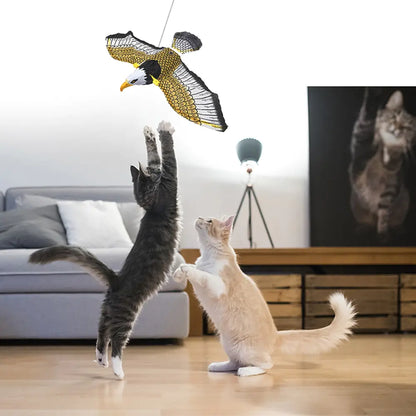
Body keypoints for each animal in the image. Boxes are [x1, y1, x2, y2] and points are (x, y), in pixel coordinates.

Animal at [29, 118, 179, 378]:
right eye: (152, 176)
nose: (154, 175)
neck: (149, 205)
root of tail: (115, 279)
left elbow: (154, 154)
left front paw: (148, 131)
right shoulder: (169, 184)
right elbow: (167, 155)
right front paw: (163, 128)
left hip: (106, 311)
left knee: (100, 333)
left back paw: (101, 360)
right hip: (126, 315)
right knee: (117, 341)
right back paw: (118, 371)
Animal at [174, 218, 356, 376]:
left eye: (209, 220)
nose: (199, 217)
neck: (208, 255)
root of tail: (276, 336)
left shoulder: (218, 285)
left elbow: (201, 274)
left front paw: (185, 269)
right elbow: (192, 266)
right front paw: (178, 272)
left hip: (246, 349)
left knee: (265, 365)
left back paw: (246, 372)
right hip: (228, 345)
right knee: (235, 362)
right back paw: (218, 366)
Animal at [350, 88, 414, 237]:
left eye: (406, 127)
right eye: (394, 117)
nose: (397, 128)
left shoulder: (391, 183)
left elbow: (384, 213)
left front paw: (382, 233)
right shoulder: (360, 149)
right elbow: (367, 119)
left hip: (404, 199)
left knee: (393, 221)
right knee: (366, 222)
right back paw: (363, 228)